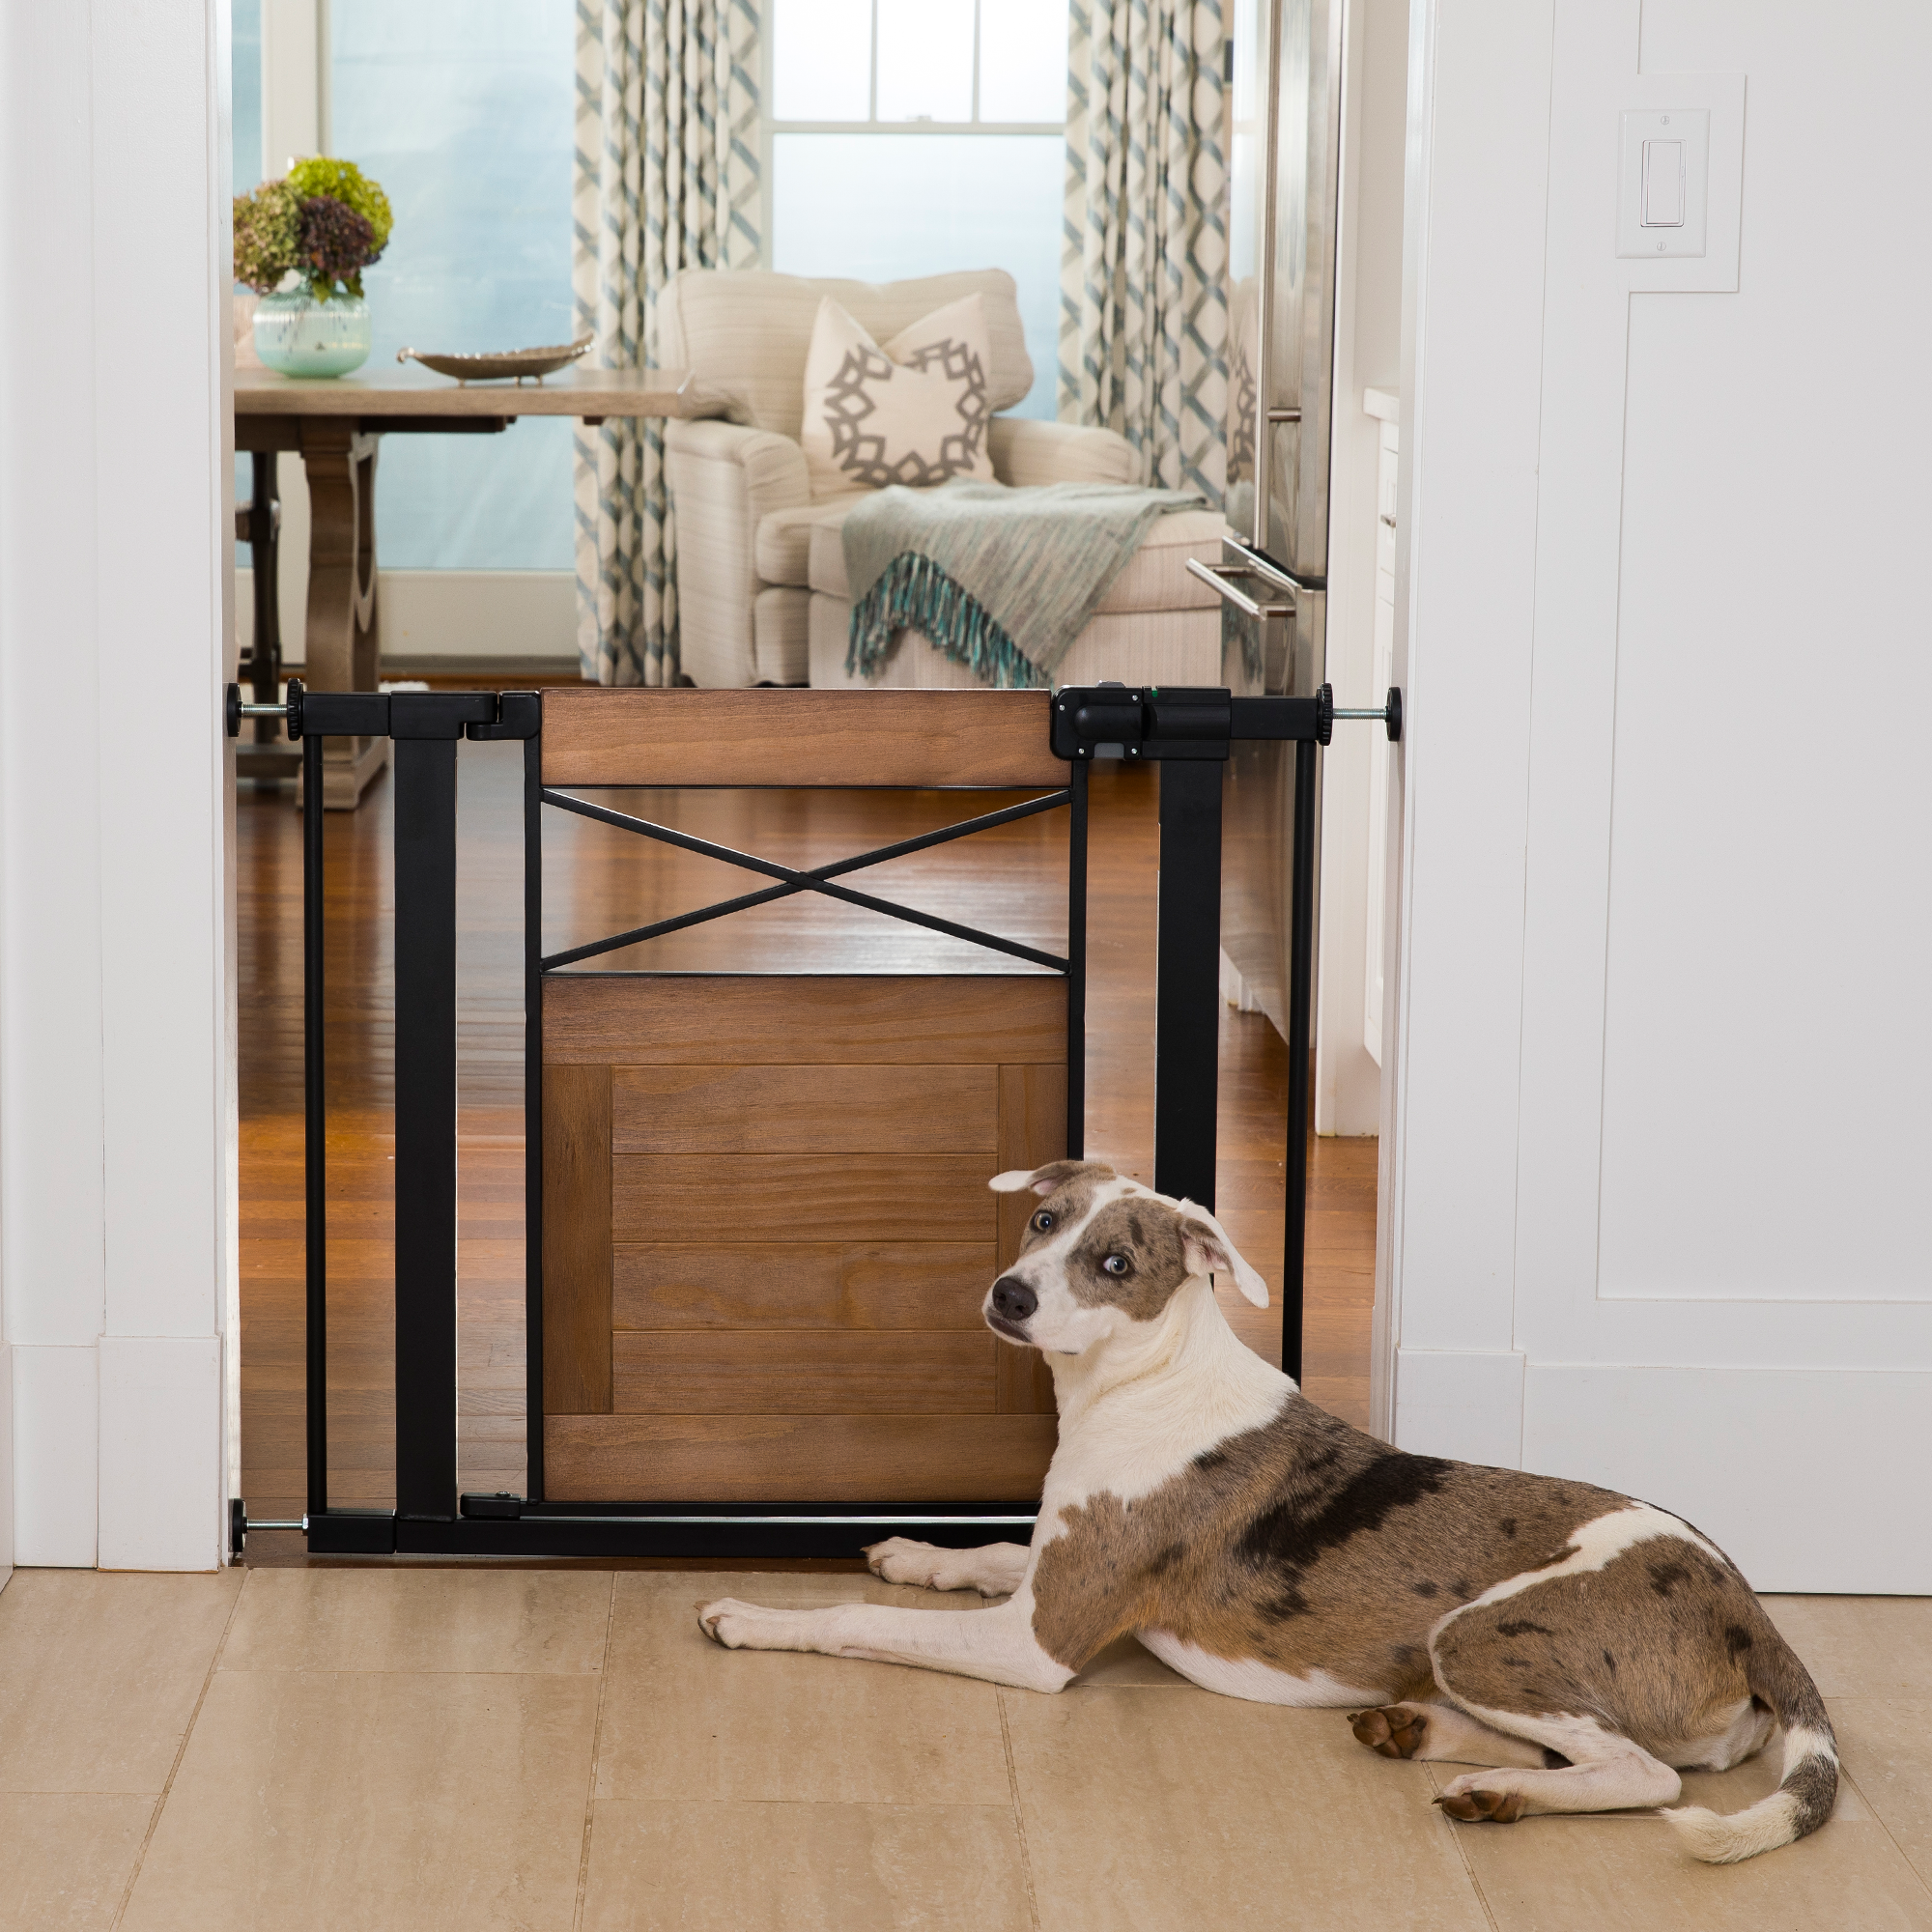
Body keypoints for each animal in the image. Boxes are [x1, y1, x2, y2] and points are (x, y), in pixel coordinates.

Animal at [699, 1151, 1839, 1862]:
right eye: (1042, 1219)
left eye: (1114, 1263)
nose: (1009, 1295)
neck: (1141, 1379)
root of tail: (1748, 1609)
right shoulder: (1057, 1565)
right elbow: (986, 1552)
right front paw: (913, 1551)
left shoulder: (1039, 1640)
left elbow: (859, 1622)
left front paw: (751, 1616)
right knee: (1590, 1748)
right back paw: (1433, 1744)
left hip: (1476, 1631)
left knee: (1645, 1775)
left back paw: (1490, 1789)